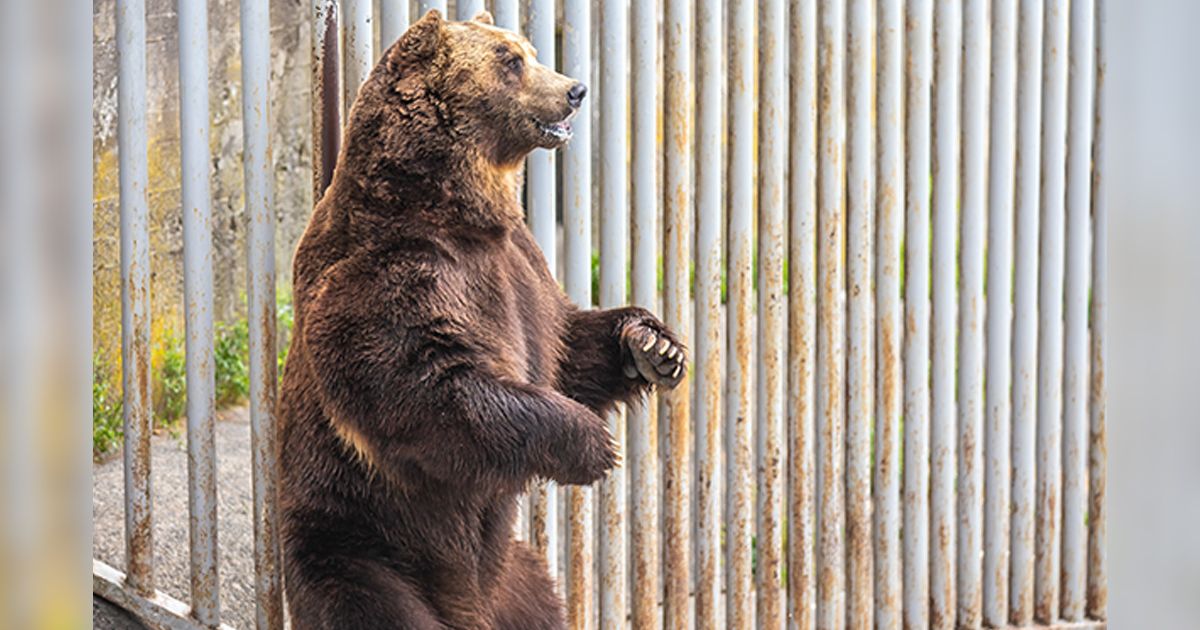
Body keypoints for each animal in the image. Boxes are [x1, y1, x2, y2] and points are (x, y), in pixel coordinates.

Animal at [274, 9, 686, 628]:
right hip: (354, 538)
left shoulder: (523, 265)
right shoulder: (390, 276)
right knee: (368, 602)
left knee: (539, 602)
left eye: (530, 50)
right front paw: (594, 444)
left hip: (518, 578)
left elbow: (567, 349)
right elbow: (429, 384)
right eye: (510, 61)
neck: (456, 208)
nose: (575, 89)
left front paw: (653, 345)